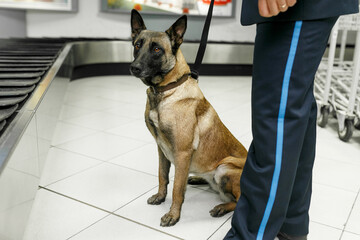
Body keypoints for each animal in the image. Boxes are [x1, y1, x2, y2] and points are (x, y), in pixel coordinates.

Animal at [129, 9, 248, 227]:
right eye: (137, 45)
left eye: (157, 49)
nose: (134, 67)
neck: (167, 89)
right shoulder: (161, 148)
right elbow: (162, 176)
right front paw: (160, 197)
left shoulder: (182, 153)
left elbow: (177, 188)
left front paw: (173, 215)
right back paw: (197, 178)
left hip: (223, 168)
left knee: (238, 200)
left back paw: (221, 207)